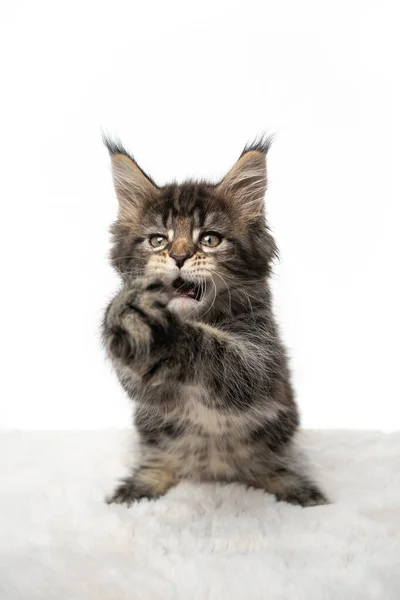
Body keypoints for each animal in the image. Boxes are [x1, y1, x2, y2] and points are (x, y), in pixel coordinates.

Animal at [102, 138, 328, 508]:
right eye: (158, 241)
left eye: (209, 239)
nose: (179, 256)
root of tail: (214, 472)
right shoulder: (151, 392)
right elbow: (134, 372)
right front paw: (124, 314)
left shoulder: (259, 358)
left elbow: (215, 349)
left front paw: (174, 334)